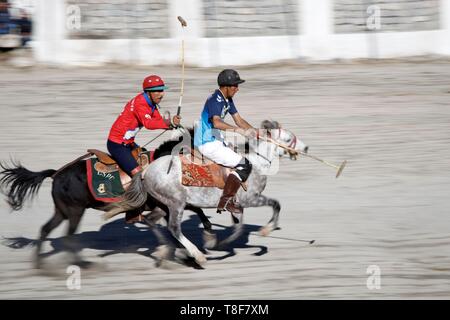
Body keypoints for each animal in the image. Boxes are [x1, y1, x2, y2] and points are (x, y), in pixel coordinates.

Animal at [107, 120, 308, 264]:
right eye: (288, 139)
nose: (305, 147)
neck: (256, 164)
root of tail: (145, 170)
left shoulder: (236, 205)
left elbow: (239, 227)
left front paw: (218, 243)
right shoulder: (251, 199)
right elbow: (275, 204)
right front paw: (266, 230)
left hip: (163, 205)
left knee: (150, 220)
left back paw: (166, 250)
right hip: (176, 203)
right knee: (174, 228)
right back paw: (197, 255)